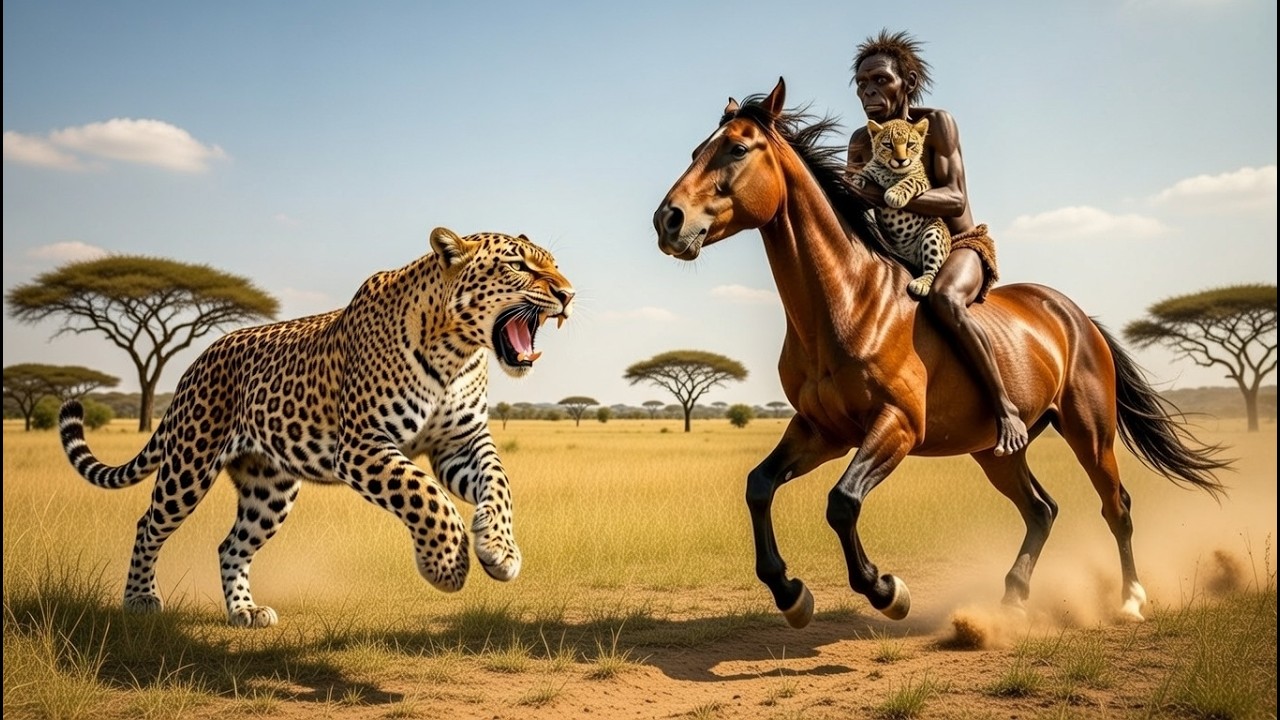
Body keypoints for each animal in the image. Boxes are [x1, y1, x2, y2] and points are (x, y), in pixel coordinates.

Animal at [57, 227, 575, 628]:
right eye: (519, 266)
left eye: (554, 265)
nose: (568, 294)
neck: (456, 351)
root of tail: (196, 361)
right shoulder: (363, 444)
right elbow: (424, 494)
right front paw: (445, 564)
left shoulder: (460, 444)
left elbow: (498, 482)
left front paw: (500, 549)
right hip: (189, 463)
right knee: (149, 523)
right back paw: (140, 599)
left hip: (270, 489)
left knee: (231, 545)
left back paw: (244, 611)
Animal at [851, 117, 951, 298]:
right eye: (888, 145)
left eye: (910, 144)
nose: (900, 160)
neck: (891, 172)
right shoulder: (871, 168)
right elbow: (864, 171)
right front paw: (855, 182)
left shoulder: (921, 179)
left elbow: (908, 181)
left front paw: (894, 195)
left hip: (935, 232)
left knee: (932, 269)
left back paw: (921, 284)